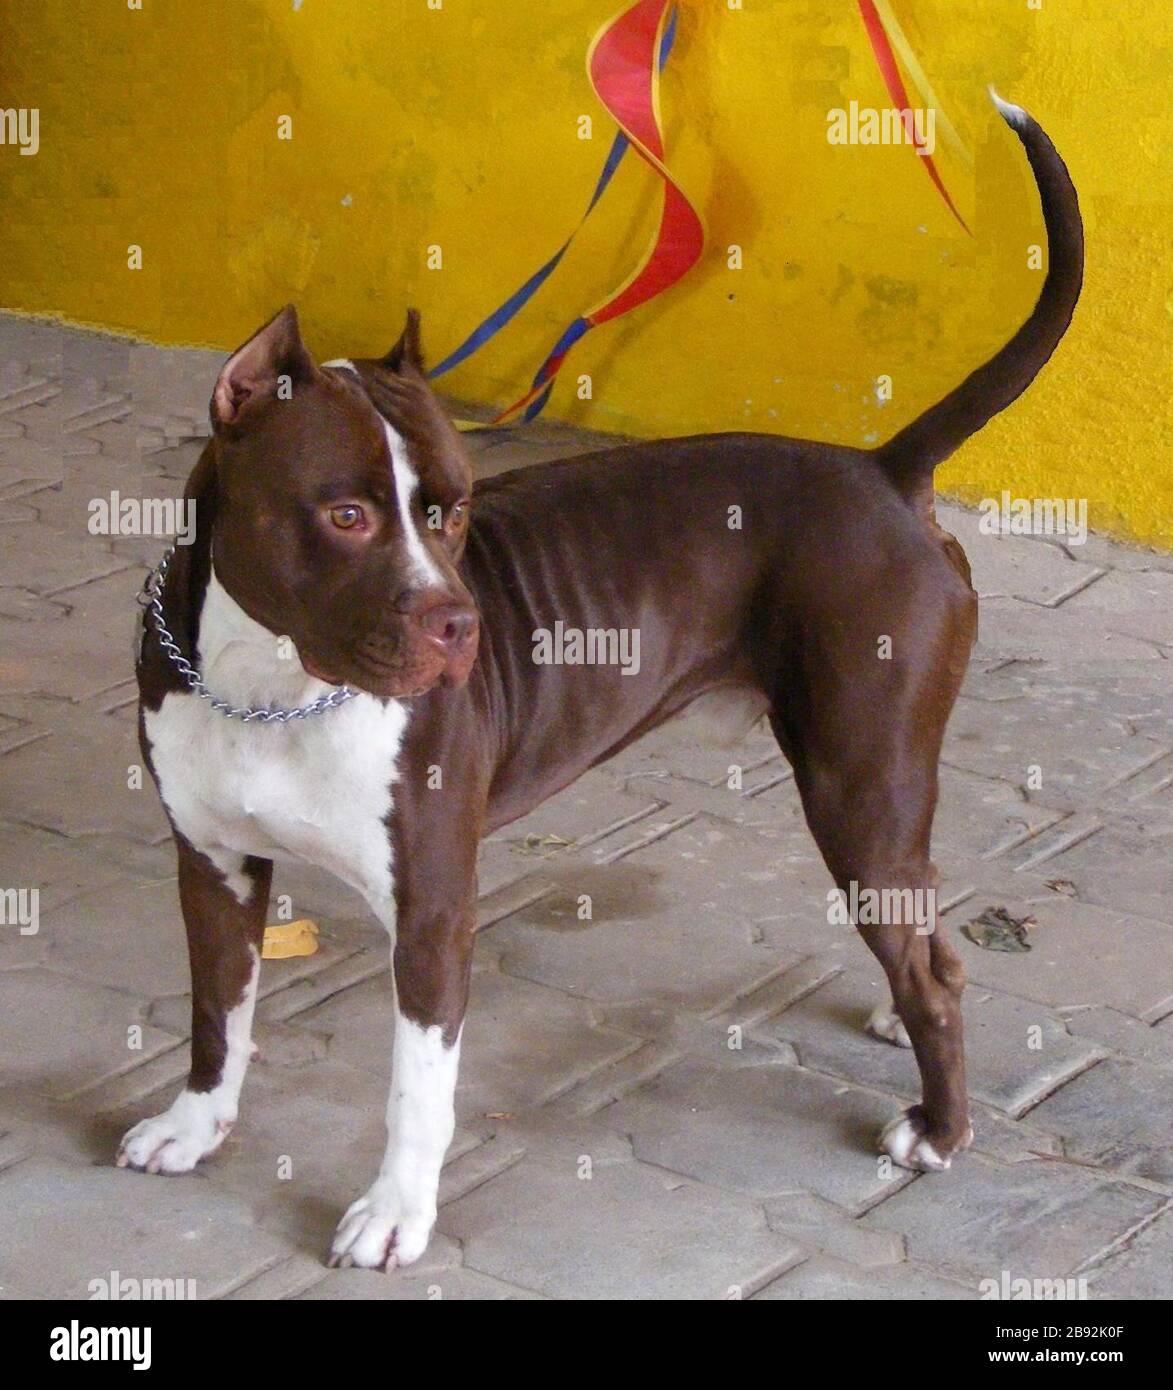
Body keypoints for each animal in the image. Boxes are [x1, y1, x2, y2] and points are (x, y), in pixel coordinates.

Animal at [116, 95, 1084, 1273]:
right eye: (345, 514)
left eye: (452, 509)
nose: (459, 624)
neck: (268, 683)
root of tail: (883, 472)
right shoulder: (212, 864)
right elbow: (218, 1014)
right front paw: (195, 1125)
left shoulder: (432, 907)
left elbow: (415, 1094)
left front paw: (395, 1212)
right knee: (924, 937)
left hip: (862, 781)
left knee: (931, 966)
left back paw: (939, 1129)